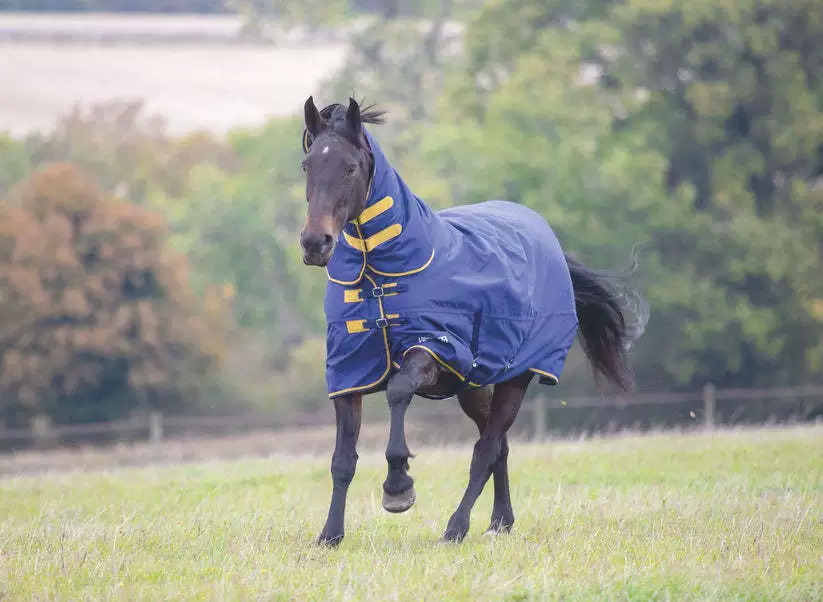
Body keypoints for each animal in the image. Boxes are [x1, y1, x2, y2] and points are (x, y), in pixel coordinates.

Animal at [297, 96, 648, 546]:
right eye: (308, 164)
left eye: (351, 167)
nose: (315, 243)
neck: (382, 277)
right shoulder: (350, 369)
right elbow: (342, 459)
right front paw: (330, 534)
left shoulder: (433, 349)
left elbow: (398, 391)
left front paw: (398, 486)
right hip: (474, 386)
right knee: (498, 445)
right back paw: (500, 520)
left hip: (516, 378)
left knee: (487, 448)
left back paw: (457, 526)